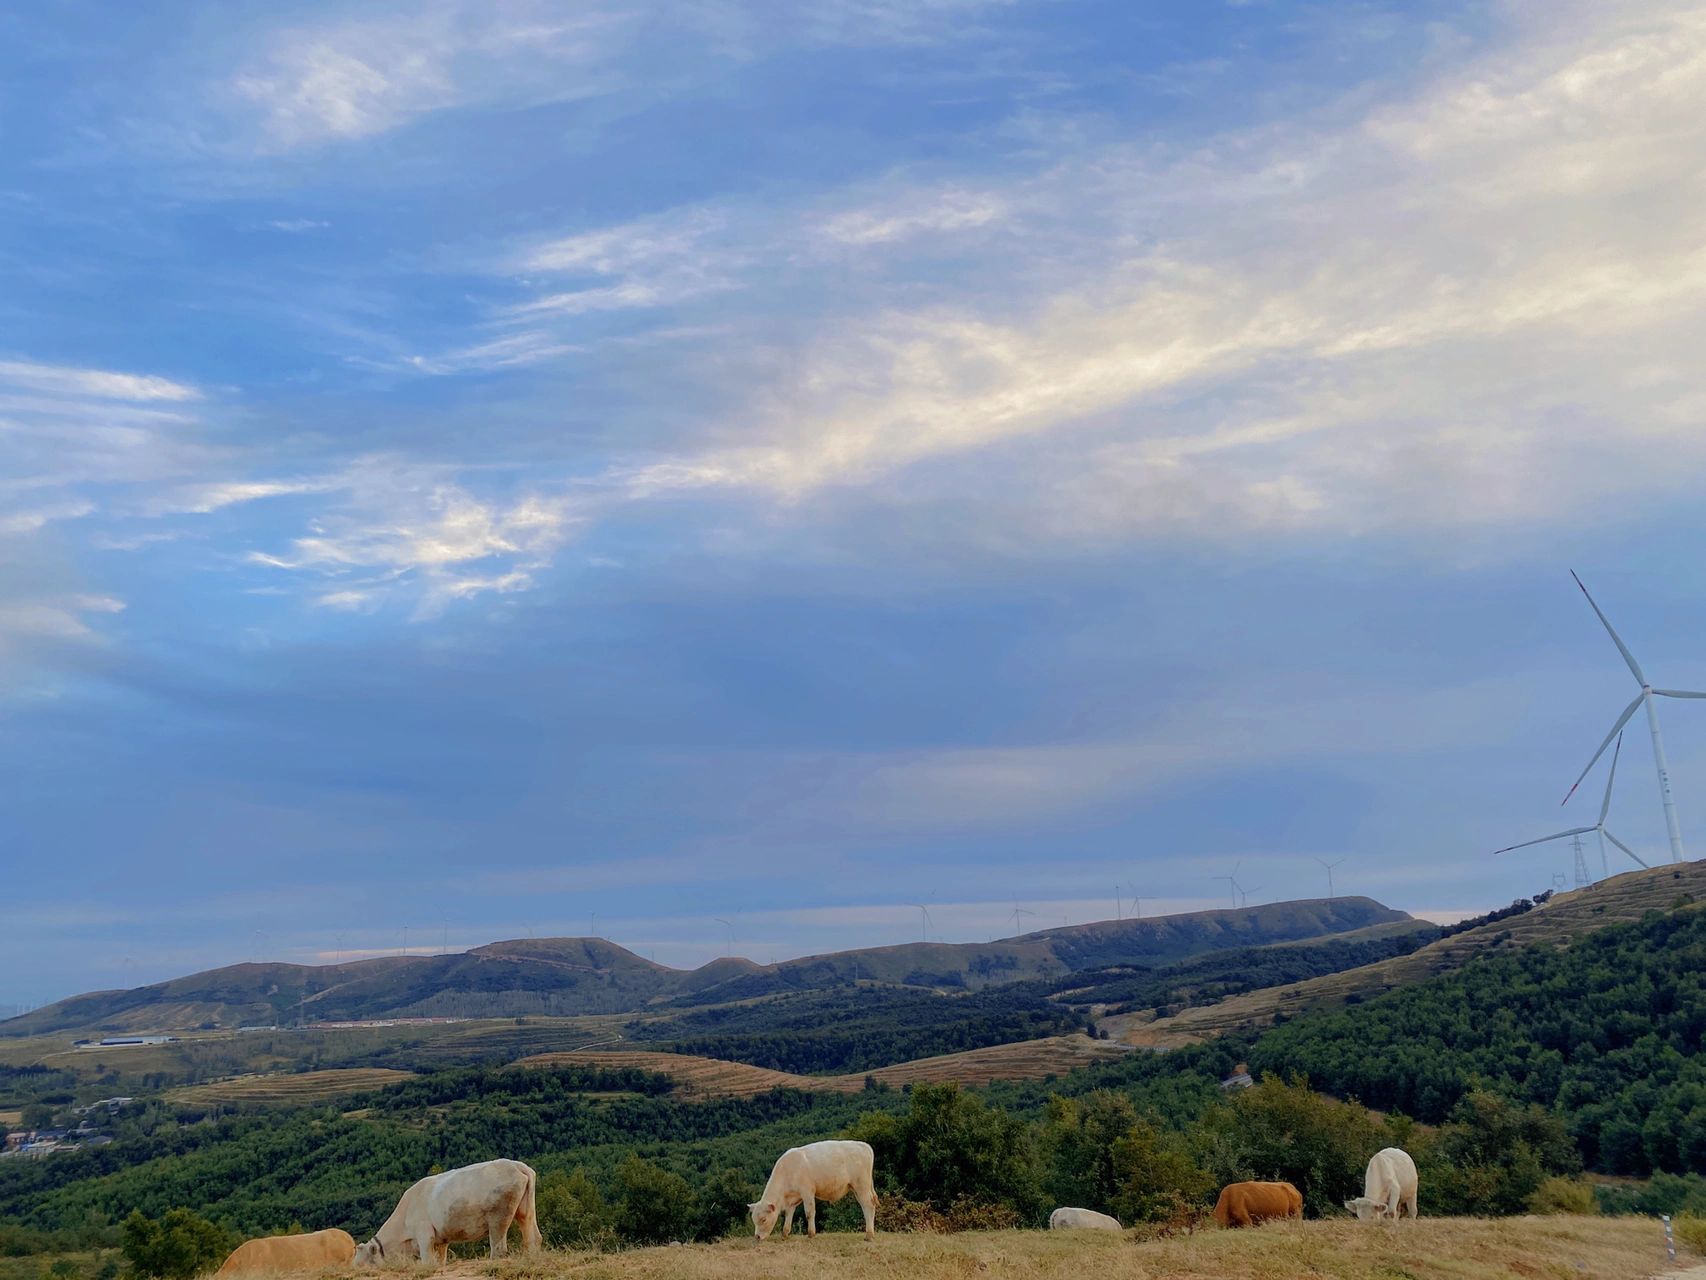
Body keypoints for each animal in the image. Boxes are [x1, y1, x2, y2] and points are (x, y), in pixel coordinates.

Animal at [356, 1160, 542, 1269]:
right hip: (525, 1209)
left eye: (362, 1266)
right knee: (533, 1235)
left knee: (499, 1246)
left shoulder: (424, 1233)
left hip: (499, 1215)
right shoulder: (441, 1240)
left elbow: (427, 1260)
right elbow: (441, 1259)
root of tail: (518, 1166)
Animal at [750, 1140, 880, 1242]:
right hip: (857, 1188)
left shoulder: (807, 1191)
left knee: (868, 1205)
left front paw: (811, 1234)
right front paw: (785, 1234)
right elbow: (788, 1214)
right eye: (754, 1220)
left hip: (861, 1185)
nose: (757, 1237)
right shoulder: (792, 1199)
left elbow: (809, 1213)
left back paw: (869, 1235)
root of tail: (863, 1145)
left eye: (763, 1219)